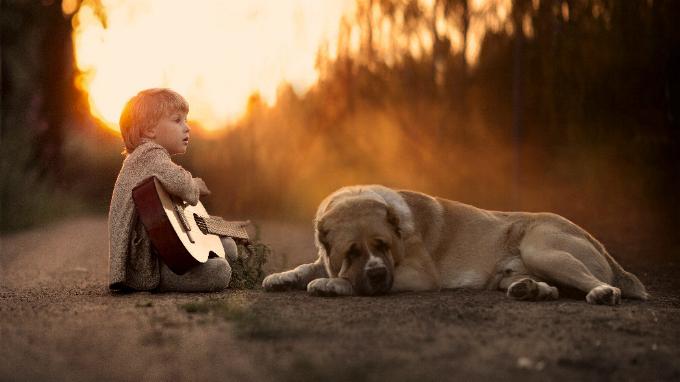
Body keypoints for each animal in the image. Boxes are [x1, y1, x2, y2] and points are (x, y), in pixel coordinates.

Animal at [262, 185, 648, 304]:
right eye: (351, 252)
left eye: (382, 245)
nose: (376, 274)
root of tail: (599, 243)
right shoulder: (326, 256)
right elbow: (307, 265)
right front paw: (282, 277)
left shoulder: (419, 275)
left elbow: (340, 279)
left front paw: (330, 284)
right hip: (519, 271)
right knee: (551, 289)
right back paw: (530, 290)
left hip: (542, 250)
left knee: (598, 283)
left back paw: (602, 293)